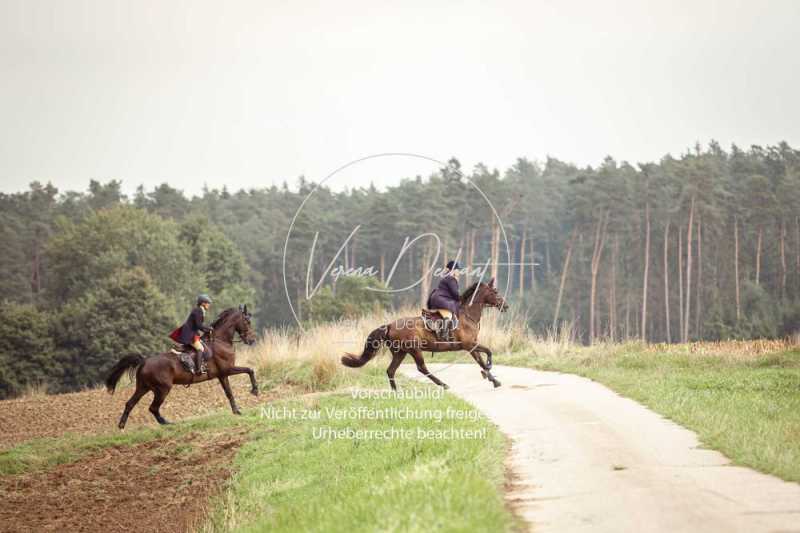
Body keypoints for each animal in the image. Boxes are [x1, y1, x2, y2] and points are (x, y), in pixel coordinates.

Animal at [105, 306, 256, 426]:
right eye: (247, 321)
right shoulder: (227, 369)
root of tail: (144, 361)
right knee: (153, 408)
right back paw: (166, 423)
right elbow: (250, 370)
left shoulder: (222, 375)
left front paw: (236, 411)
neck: (220, 340)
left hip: (143, 387)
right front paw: (255, 391)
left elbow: (229, 392)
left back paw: (122, 426)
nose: (252, 340)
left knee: (130, 403)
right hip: (162, 389)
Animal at [342, 280, 506, 388]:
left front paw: (491, 377)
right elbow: (486, 355)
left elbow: (483, 358)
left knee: (391, 370)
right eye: (495, 292)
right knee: (421, 368)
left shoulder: (471, 345)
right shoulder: (469, 345)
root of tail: (389, 325)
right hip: (414, 350)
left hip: (400, 352)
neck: (468, 315)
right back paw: (443, 384)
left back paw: (396, 393)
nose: (506, 306)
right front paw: (491, 375)